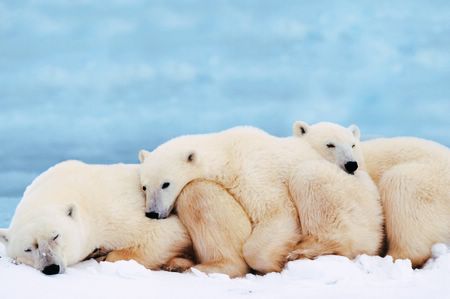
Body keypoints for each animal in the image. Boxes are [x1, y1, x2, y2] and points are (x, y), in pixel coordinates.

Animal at [0, 162, 192, 276]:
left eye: (56, 236)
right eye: (28, 249)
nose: (51, 268)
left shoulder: (116, 210)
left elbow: (167, 232)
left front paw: (104, 255)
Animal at [138, 126, 324, 274]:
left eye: (165, 184)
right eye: (144, 187)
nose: (152, 213)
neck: (227, 154)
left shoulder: (253, 173)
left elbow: (277, 211)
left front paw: (276, 263)